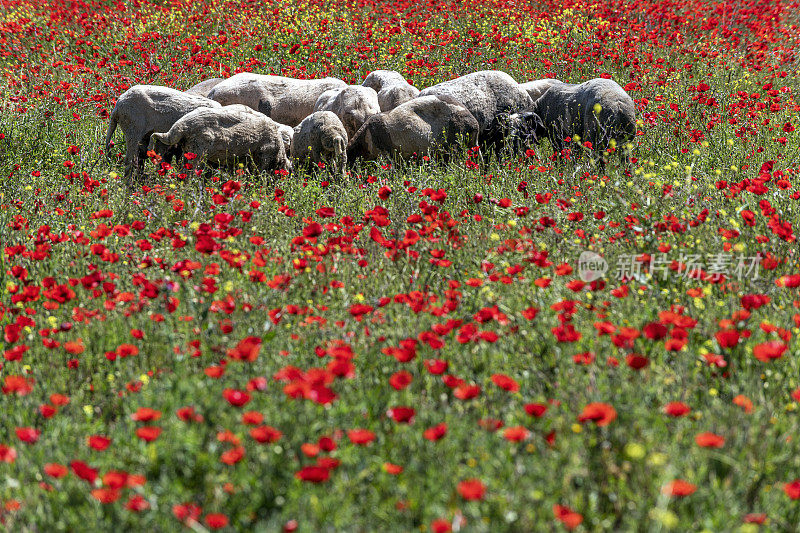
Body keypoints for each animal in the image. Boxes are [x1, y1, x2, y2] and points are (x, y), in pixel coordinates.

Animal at [149, 105, 290, 176]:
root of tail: (180, 126)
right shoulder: (263, 156)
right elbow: (259, 175)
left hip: (189, 150)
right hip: (198, 150)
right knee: (187, 174)